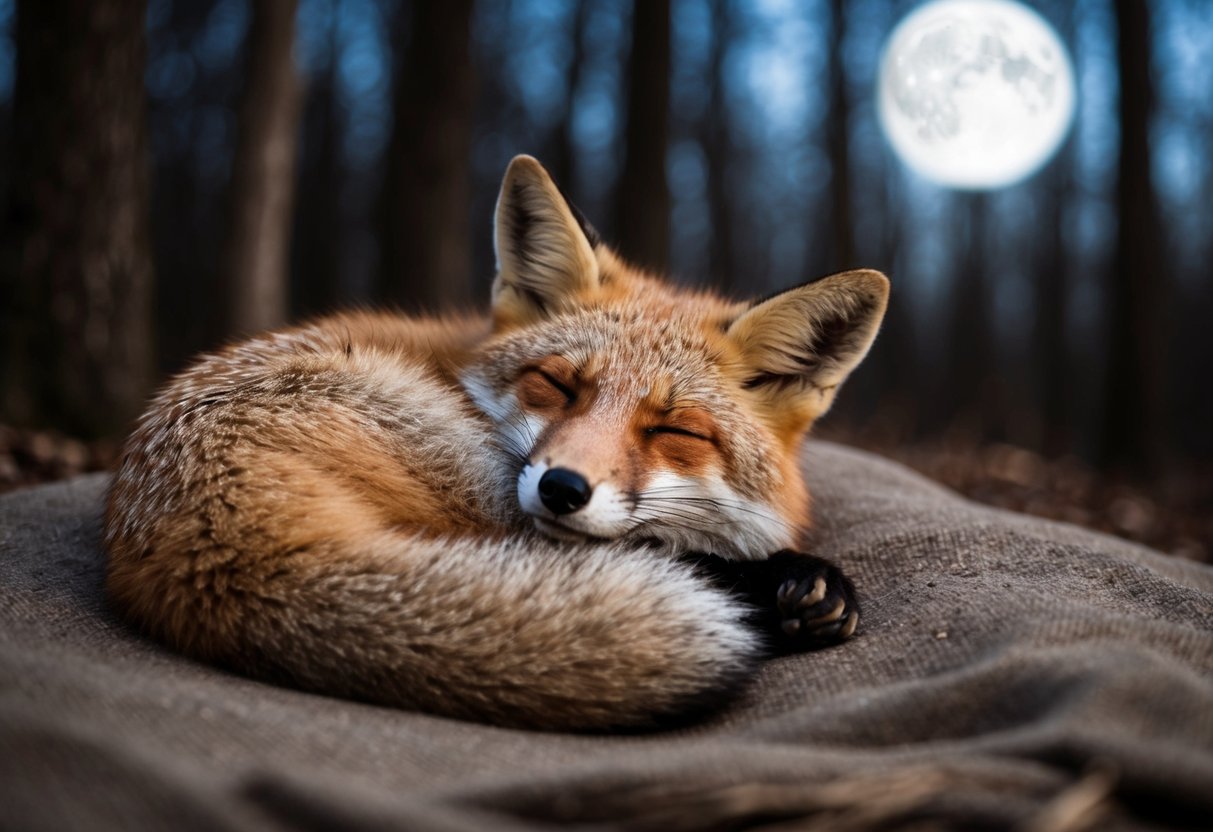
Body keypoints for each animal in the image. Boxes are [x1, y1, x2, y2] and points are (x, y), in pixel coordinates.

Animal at [103, 155, 889, 731]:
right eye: (558, 386)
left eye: (673, 431)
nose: (563, 488)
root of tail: (208, 544)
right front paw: (789, 581)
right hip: (476, 476)